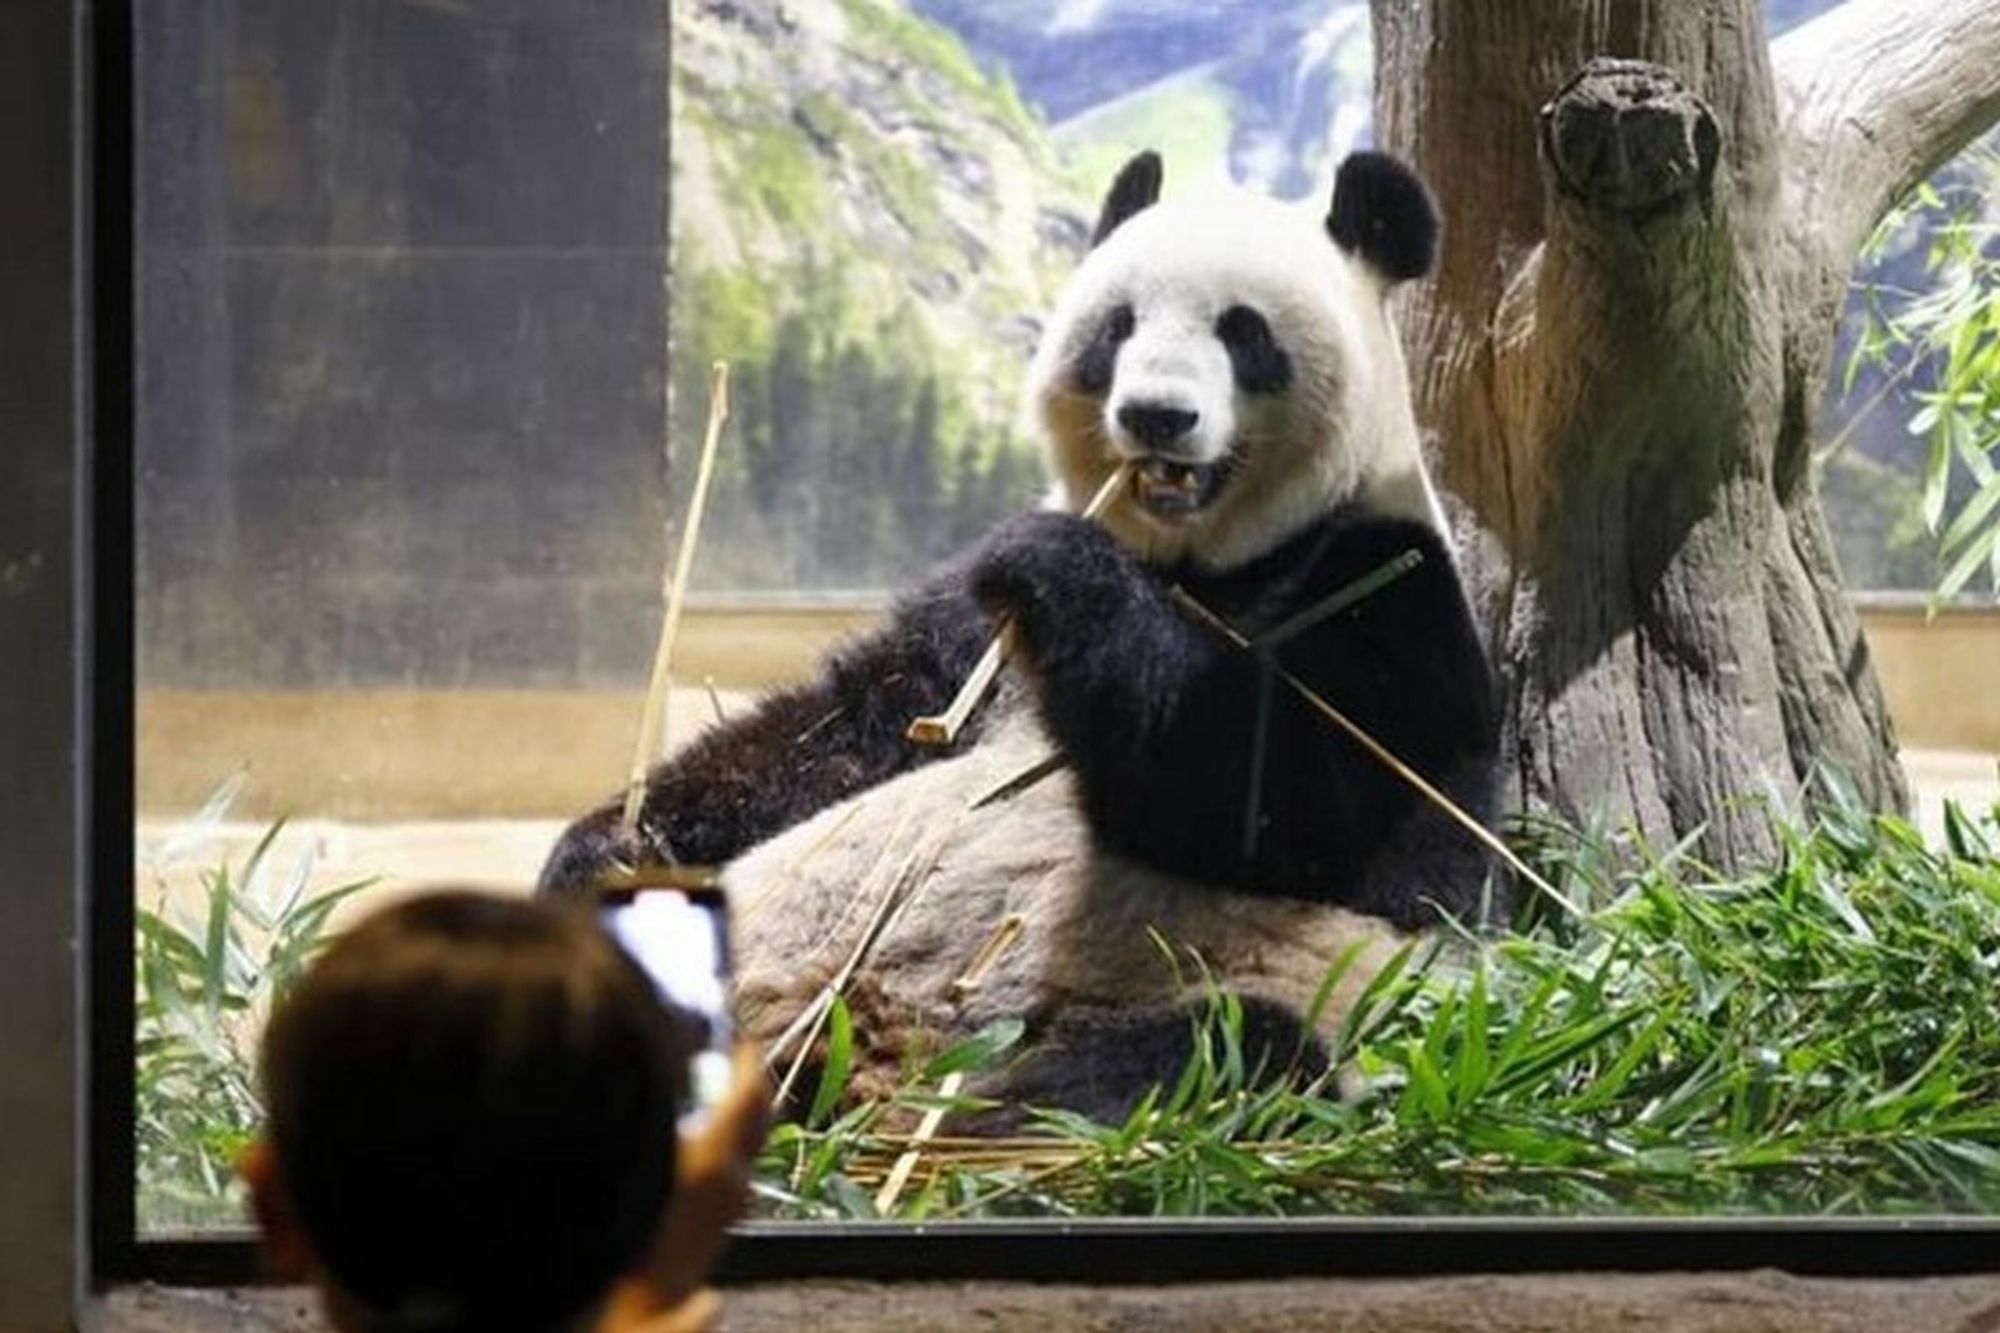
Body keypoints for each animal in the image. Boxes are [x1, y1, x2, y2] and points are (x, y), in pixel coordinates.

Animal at [548, 145, 1504, 1120]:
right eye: (1118, 326)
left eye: (1245, 333)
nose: (1157, 415)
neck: (1190, 561)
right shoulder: (967, 642)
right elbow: (837, 732)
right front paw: (611, 850)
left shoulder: (1387, 590)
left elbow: (1280, 803)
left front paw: (1057, 568)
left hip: (1288, 992)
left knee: (1208, 1052)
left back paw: (973, 1112)